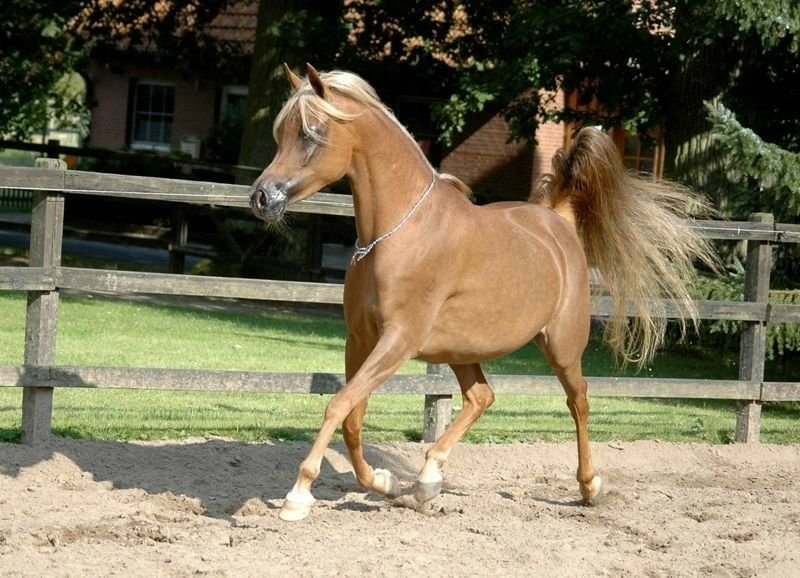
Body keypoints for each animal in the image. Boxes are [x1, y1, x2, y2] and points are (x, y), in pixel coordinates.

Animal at [249, 63, 716, 522]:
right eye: (280, 134)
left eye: (310, 133)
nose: (261, 197)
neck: (398, 234)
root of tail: (557, 220)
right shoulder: (360, 338)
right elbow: (352, 415)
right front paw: (386, 482)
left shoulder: (398, 340)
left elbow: (338, 405)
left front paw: (297, 496)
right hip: (461, 349)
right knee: (481, 397)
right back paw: (427, 481)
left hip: (561, 345)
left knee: (578, 401)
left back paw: (589, 486)